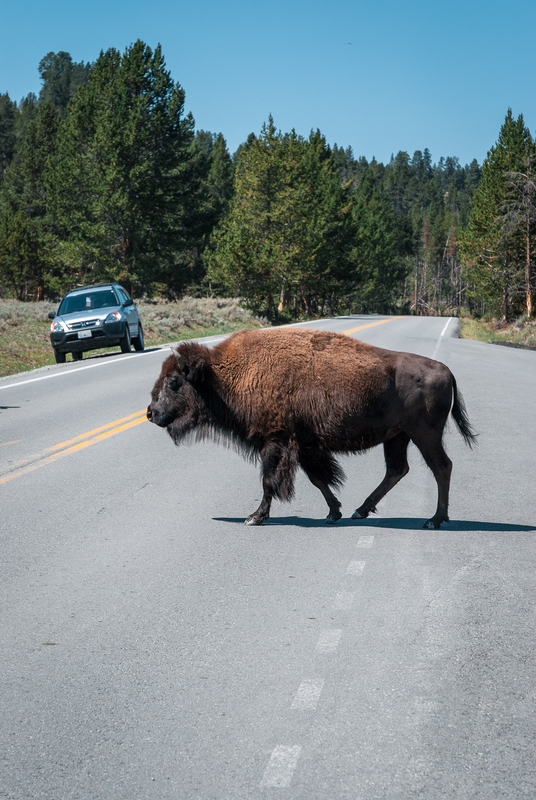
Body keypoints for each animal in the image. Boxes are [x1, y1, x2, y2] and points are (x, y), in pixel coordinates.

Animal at [144, 328, 476, 528]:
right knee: (397, 470)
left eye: (174, 382)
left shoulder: (275, 441)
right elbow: (318, 480)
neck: (223, 376)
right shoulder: (303, 445)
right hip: (397, 437)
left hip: (424, 434)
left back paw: (434, 519)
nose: (150, 413)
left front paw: (254, 517)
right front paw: (334, 512)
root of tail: (446, 370)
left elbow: (269, 481)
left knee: (441, 467)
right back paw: (360, 510)